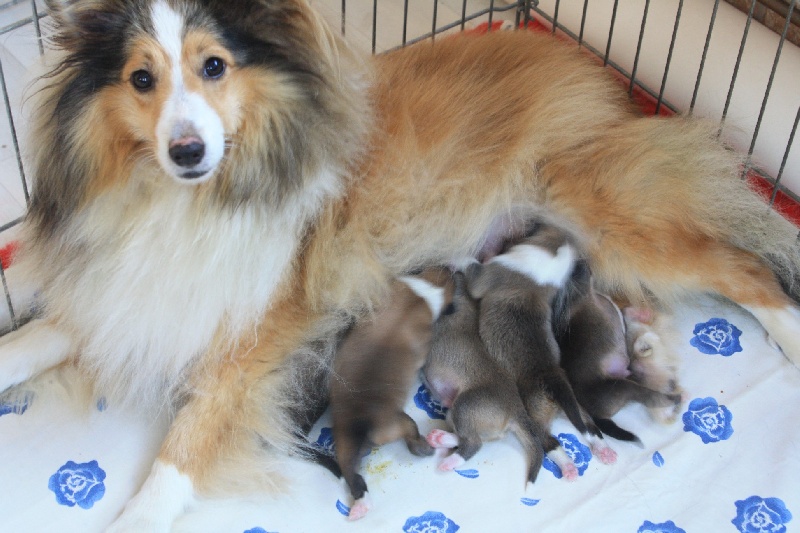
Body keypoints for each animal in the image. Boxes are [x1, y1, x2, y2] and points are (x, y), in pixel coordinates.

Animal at [422, 270, 580, 482]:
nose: (452, 269)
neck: (464, 303)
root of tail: (517, 410)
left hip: (464, 406)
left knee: (473, 443)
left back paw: (449, 460)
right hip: (456, 413)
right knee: (465, 437)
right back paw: (439, 437)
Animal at [556, 260, 680, 440]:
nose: (581, 260)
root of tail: (596, 417)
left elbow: (626, 311)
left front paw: (642, 313)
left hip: (629, 377)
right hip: (624, 386)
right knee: (652, 396)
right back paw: (674, 398)